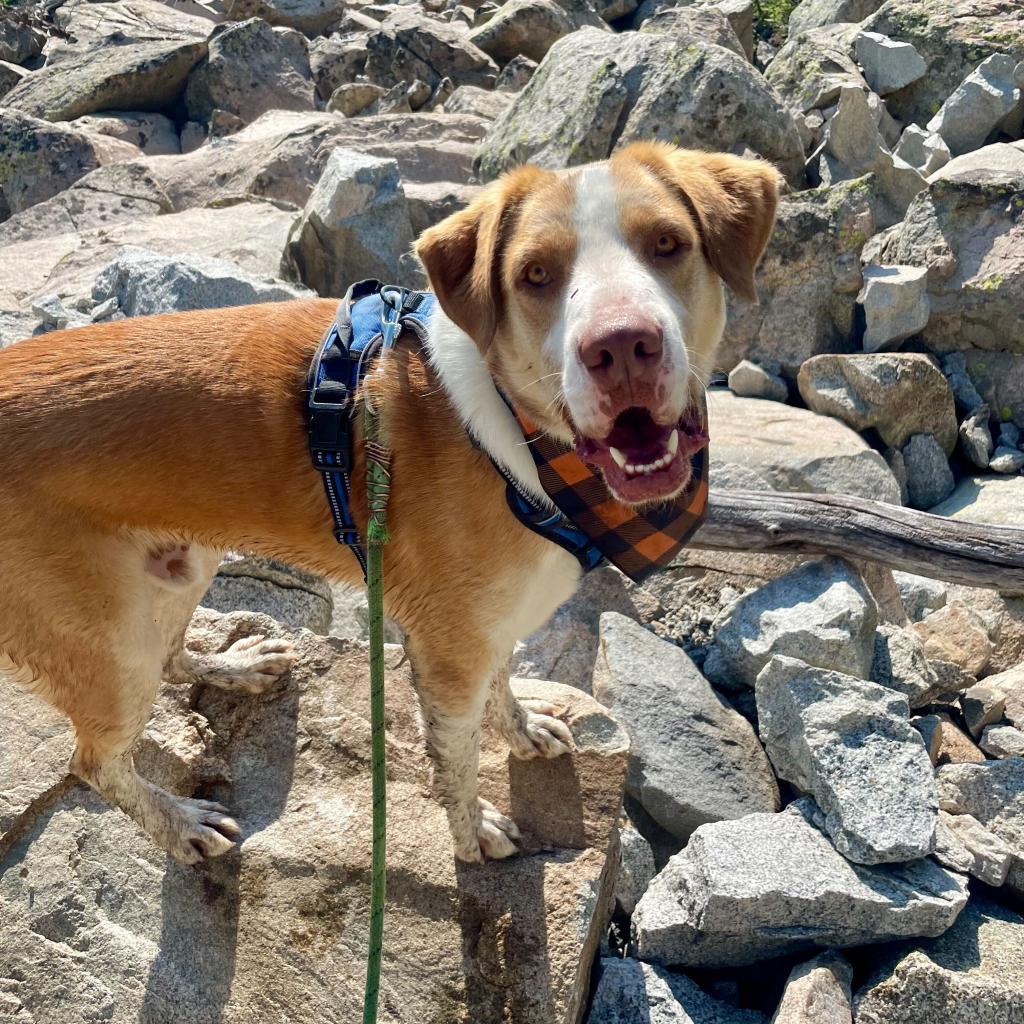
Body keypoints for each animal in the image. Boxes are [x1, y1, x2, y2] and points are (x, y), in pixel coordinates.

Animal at [0, 142, 774, 864]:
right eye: (535, 275)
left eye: (668, 243)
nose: (621, 345)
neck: (516, 436)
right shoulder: (448, 648)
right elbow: (456, 760)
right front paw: (472, 834)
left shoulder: (491, 622)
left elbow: (502, 683)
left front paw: (521, 729)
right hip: (103, 633)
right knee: (94, 759)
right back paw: (178, 823)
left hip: (179, 566)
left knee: (167, 659)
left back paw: (235, 669)